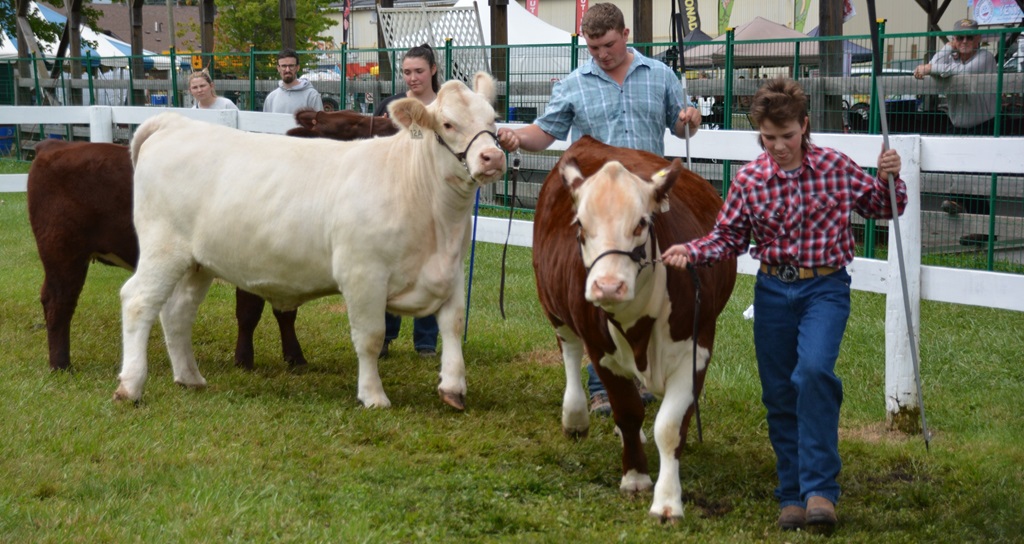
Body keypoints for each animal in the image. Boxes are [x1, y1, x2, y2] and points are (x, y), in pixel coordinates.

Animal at [25, 139, 306, 372]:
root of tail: (55, 145)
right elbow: (250, 313)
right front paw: (245, 361)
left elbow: (284, 312)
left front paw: (294, 358)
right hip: (63, 253)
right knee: (59, 301)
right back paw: (61, 364)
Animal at [116, 72, 506, 408]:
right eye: (448, 124)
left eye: (494, 121)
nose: (494, 156)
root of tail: (174, 123)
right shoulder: (362, 274)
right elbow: (370, 337)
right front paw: (373, 395)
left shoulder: (451, 271)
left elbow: (453, 325)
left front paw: (454, 388)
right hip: (163, 248)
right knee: (138, 301)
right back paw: (131, 386)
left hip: (196, 263)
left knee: (177, 312)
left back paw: (190, 377)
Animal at [532, 136, 737, 520]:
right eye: (580, 226)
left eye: (641, 223)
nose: (608, 286)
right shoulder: (600, 349)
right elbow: (627, 411)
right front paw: (635, 477)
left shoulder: (696, 348)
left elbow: (670, 427)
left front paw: (667, 501)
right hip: (553, 306)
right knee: (569, 351)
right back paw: (575, 417)